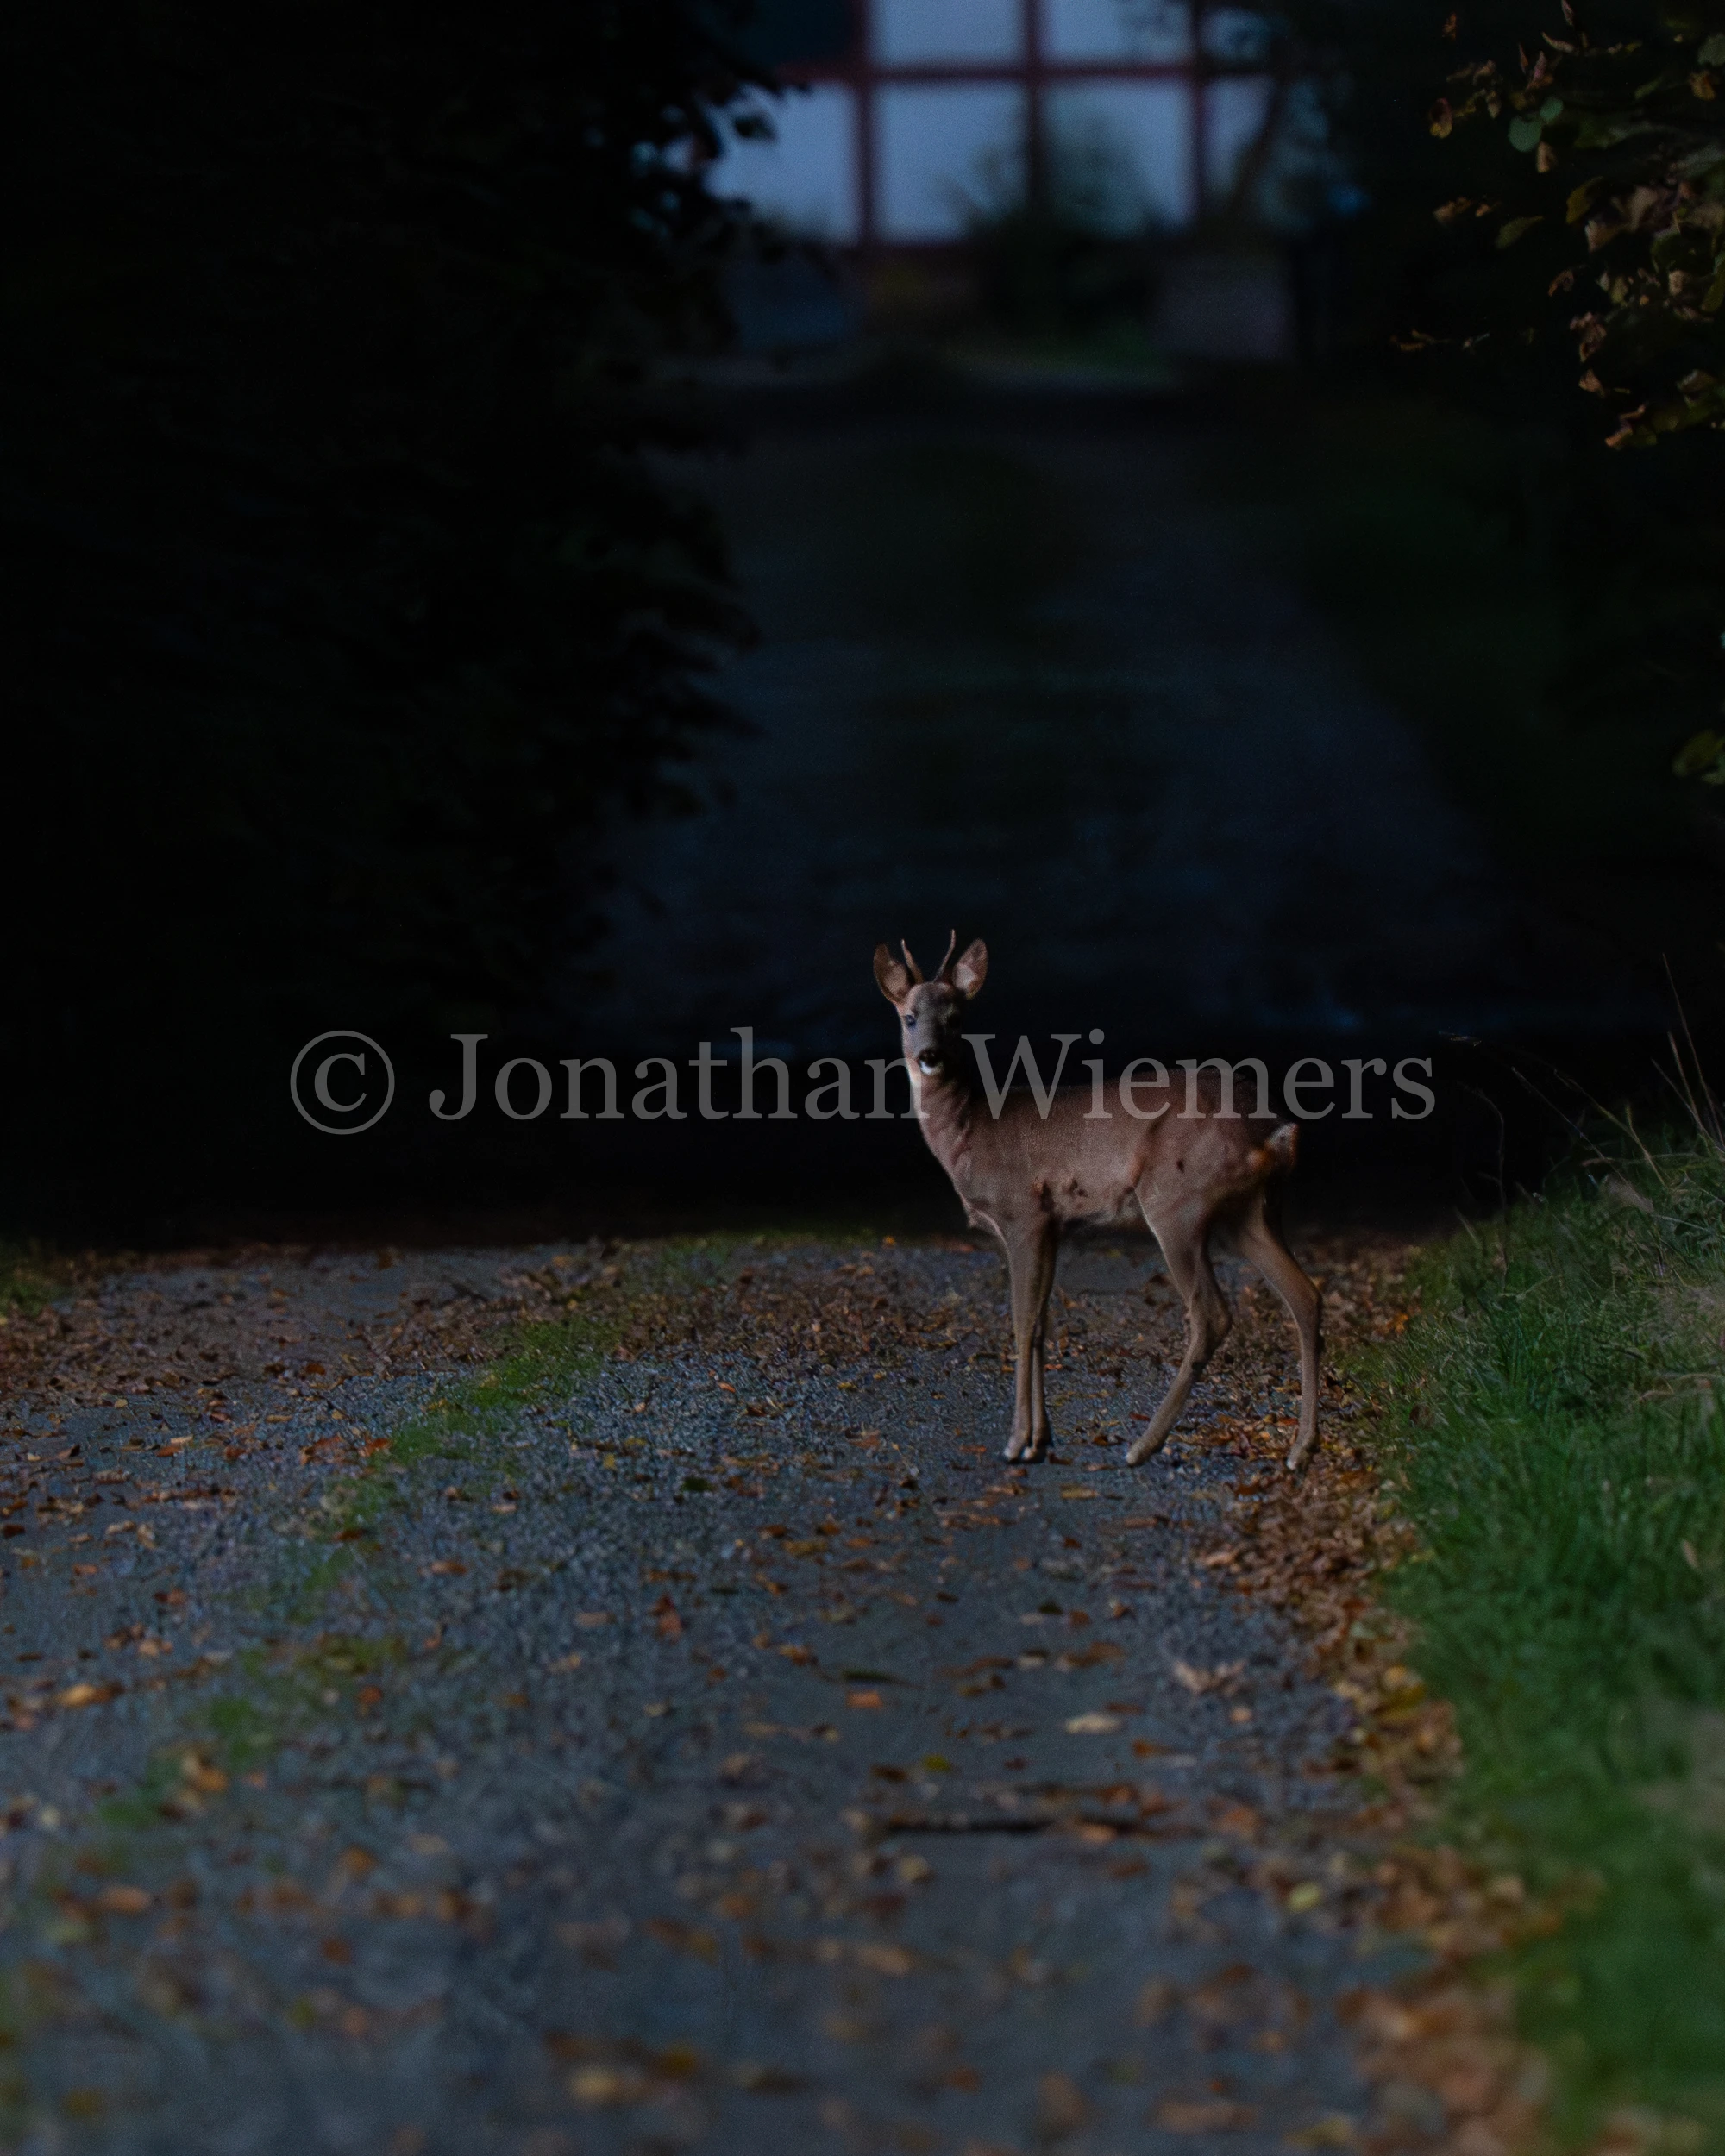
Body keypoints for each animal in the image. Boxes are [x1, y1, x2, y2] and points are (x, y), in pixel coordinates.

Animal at [873, 933, 1321, 1473]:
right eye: (909, 1017)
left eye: (956, 1017)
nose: (930, 1055)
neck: (971, 1132)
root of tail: (1277, 1131)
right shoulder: (1053, 1225)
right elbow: (1042, 1324)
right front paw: (1040, 1440)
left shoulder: (1022, 1212)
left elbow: (1021, 1323)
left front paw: (1016, 1442)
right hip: (1252, 1213)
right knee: (1306, 1296)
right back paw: (1301, 1449)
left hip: (1175, 1202)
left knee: (1211, 1314)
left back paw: (1142, 1445)